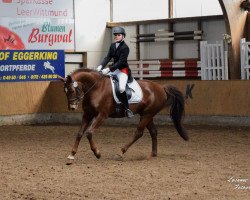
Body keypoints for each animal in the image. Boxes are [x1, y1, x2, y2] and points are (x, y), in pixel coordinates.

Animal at [58, 69, 188, 164]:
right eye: (64, 91)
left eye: (71, 90)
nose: (72, 107)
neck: (96, 88)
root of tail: (161, 87)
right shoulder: (88, 114)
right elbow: (80, 133)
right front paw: (71, 155)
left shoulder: (102, 115)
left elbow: (89, 133)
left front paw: (97, 153)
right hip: (146, 114)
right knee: (153, 131)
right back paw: (152, 154)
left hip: (147, 114)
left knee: (138, 133)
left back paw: (120, 153)